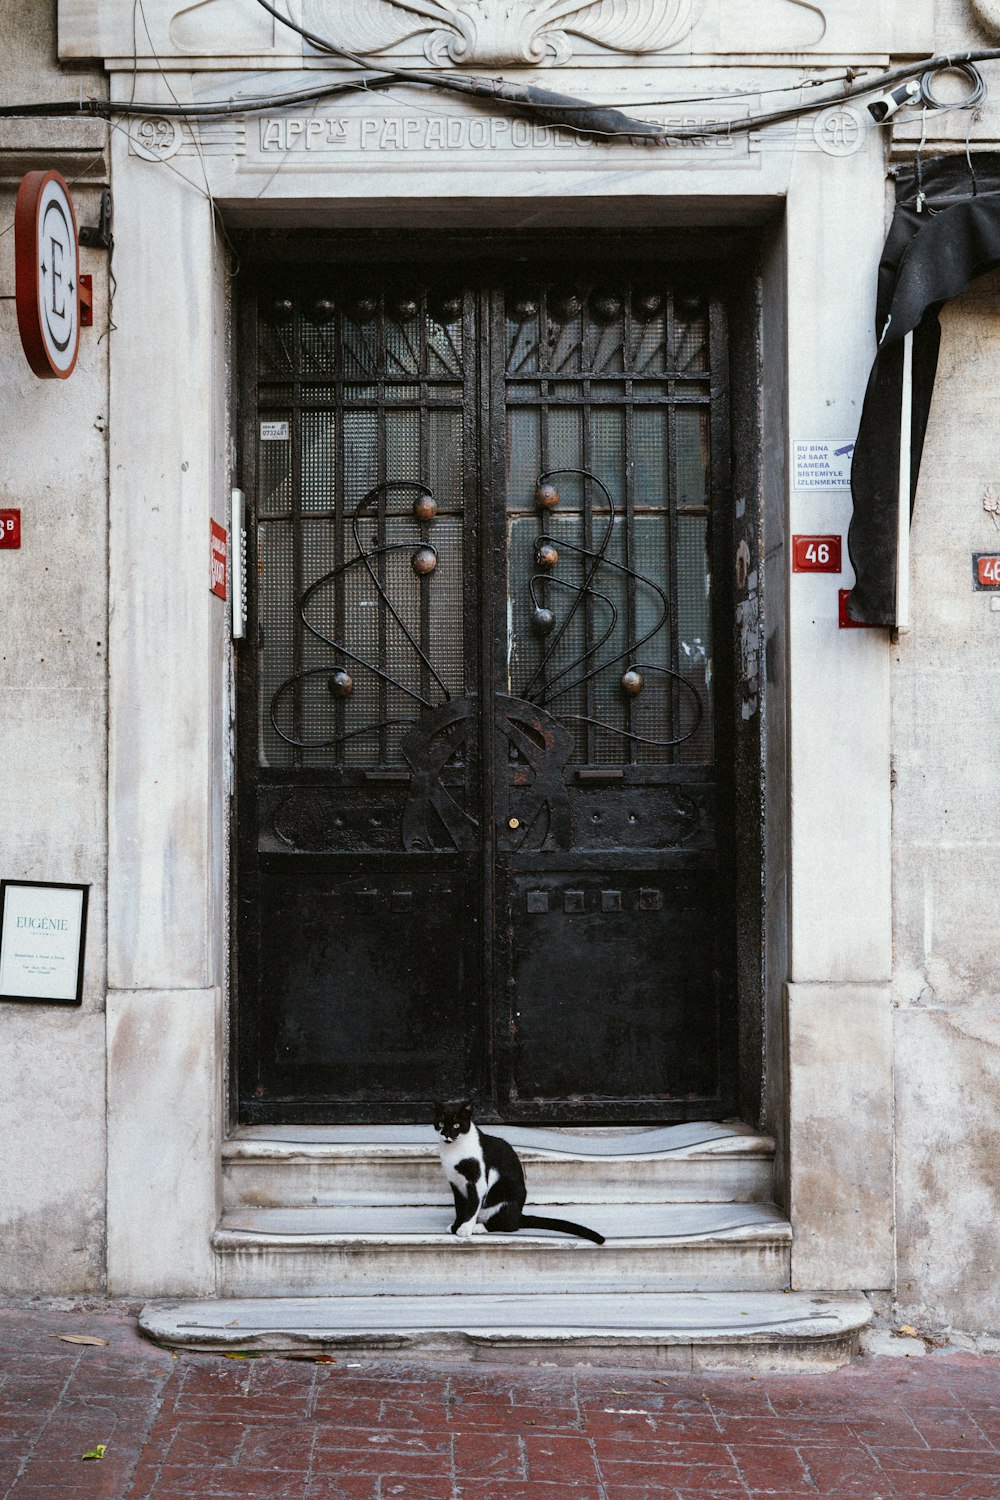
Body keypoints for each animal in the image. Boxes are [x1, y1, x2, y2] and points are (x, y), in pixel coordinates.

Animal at [428, 1098, 602, 1248]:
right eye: (441, 1123)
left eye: (457, 1125)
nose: (447, 1134)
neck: (454, 1151)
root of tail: (520, 1214)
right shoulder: (455, 1183)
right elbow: (460, 1207)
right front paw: (456, 1226)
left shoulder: (477, 1180)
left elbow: (472, 1205)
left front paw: (465, 1229)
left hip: (506, 1196)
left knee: (510, 1225)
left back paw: (479, 1227)